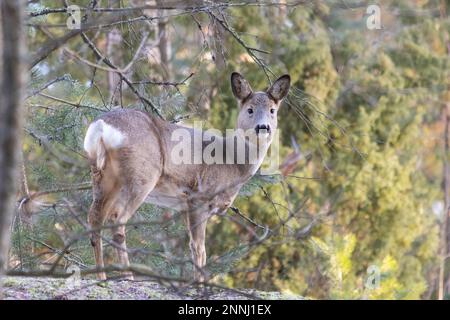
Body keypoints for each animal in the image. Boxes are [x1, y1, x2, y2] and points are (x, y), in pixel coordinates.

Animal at [82, 72, 290, 280]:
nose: (263, 127)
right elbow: (199, 249)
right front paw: (199, 282)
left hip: (102, 175)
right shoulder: (198, 197)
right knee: (117, 219)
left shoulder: (183, 205)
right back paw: (127, 276)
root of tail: (100, 127)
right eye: (250, 109)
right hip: (141, 175)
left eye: (272, 110)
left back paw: (101, 277)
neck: (232, 164)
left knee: (95, 218)